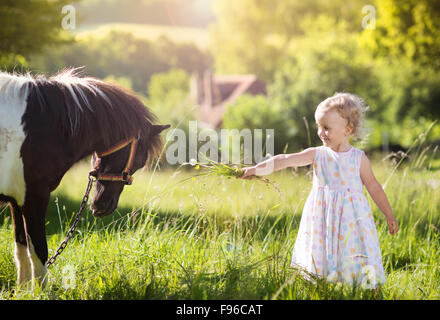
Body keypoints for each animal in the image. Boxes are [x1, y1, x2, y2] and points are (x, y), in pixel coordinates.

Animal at [0, 67, 170, 288]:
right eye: (140, 160)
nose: (101, 206)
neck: (44, 125)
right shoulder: (34, 197)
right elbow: (39, 253)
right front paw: (40, 292)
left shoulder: (16, 200)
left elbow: (21, 251)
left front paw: (23, 291)